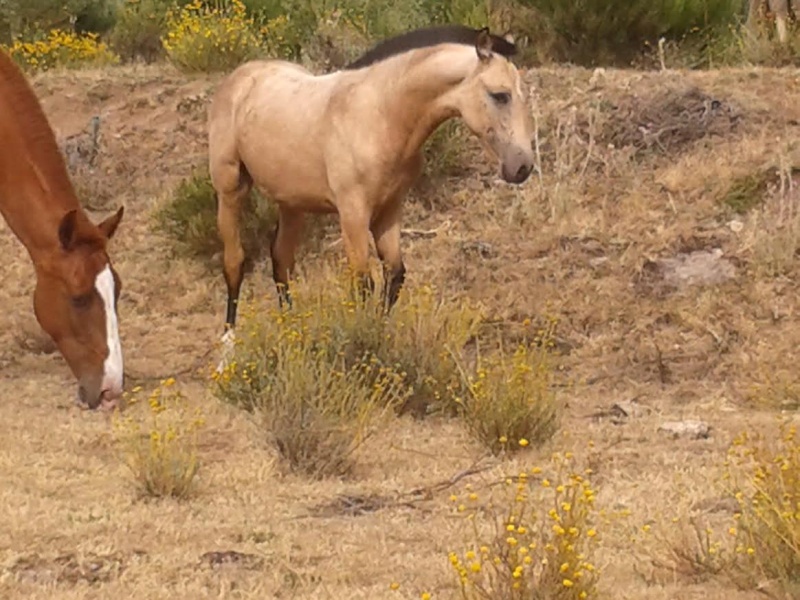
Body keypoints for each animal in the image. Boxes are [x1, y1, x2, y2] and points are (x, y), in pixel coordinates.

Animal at [209, 28, 536, 354]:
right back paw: (228, 346)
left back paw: (291, 332)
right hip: (230, 190)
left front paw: (380, 336)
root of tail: (241, 76)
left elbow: (395, 274)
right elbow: (363, 283)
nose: (522, 166)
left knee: (281, 260)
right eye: (500, 95)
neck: (379, 115)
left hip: (292, 203)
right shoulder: (353, 214)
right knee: (235, 262)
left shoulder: (389, 210)